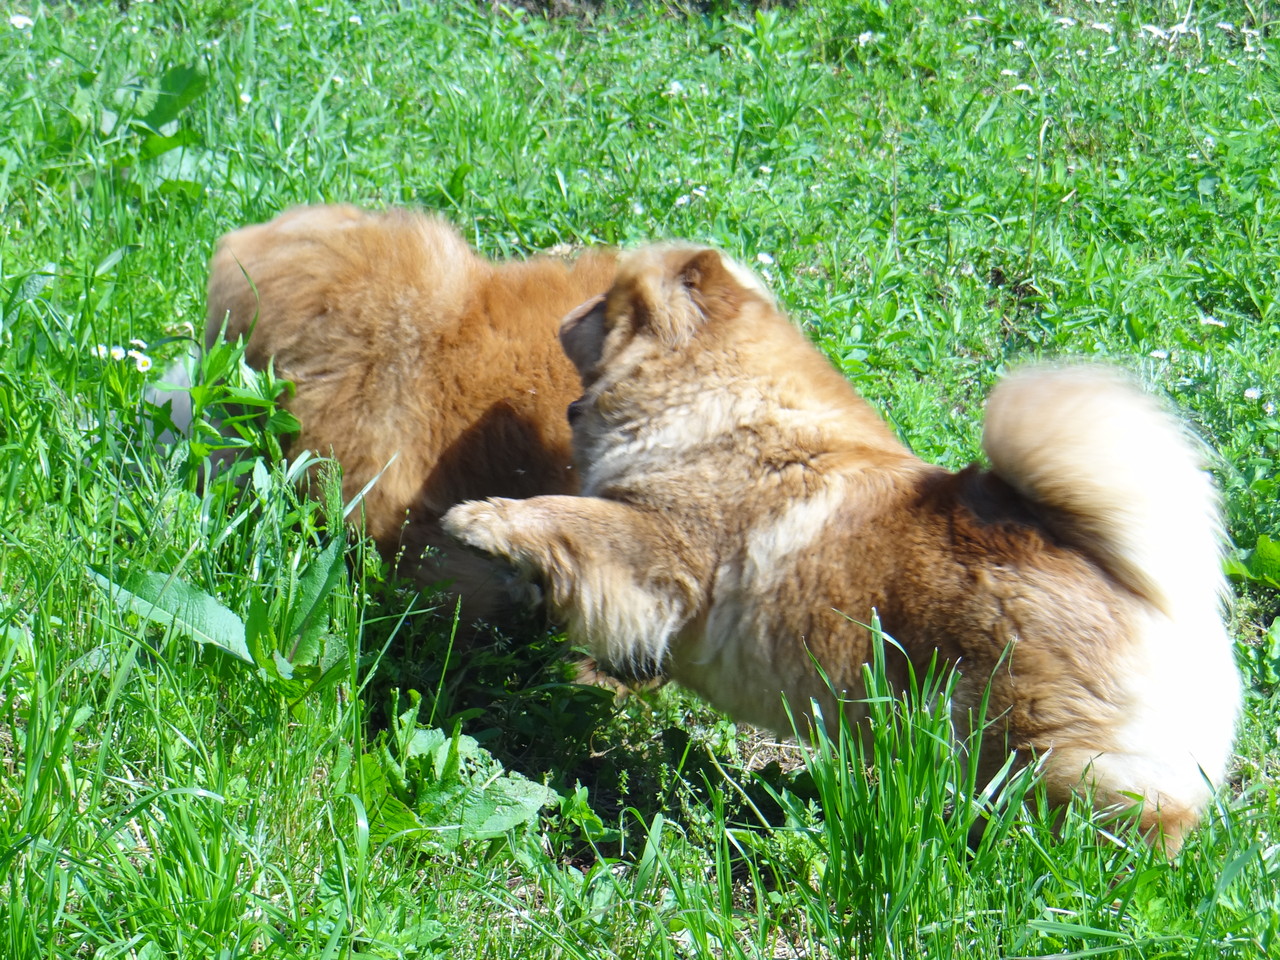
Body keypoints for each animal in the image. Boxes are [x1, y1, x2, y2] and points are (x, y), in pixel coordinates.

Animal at [441, 243, 1241, 852]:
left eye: (607, 307)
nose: (565, 318)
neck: (714, 402)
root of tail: (1137, 580)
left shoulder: (660, 542)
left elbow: (564, 517)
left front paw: (478, 520)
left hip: (1036, 742)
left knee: (1132, 818)